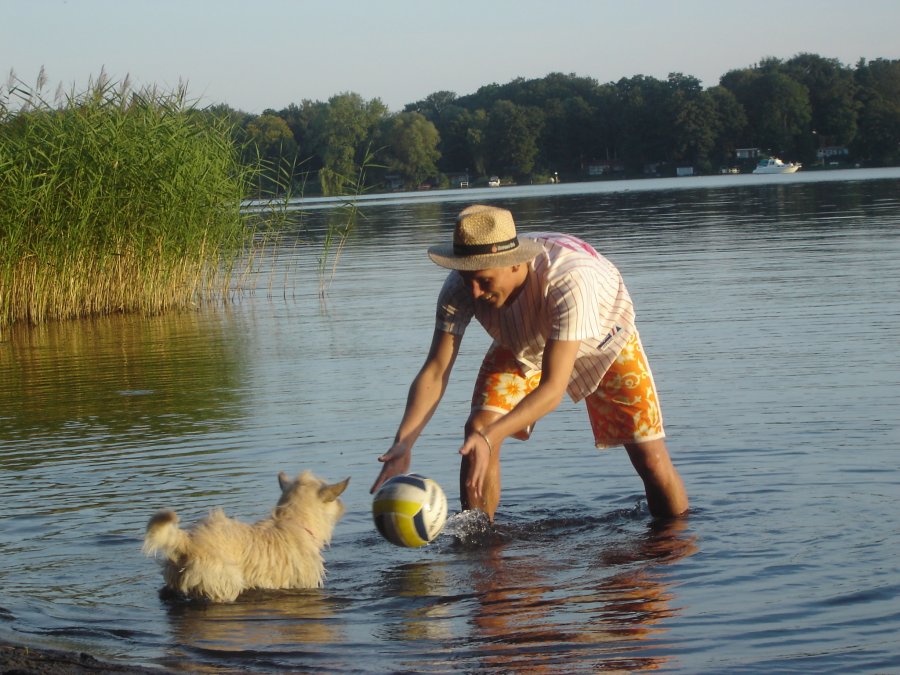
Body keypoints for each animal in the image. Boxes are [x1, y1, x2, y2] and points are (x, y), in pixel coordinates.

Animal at [142, 470, 350, 604]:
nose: (343, 505)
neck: (293, 521)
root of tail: (187, 540)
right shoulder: (305, 582)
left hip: (173, 581)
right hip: (221, 585)